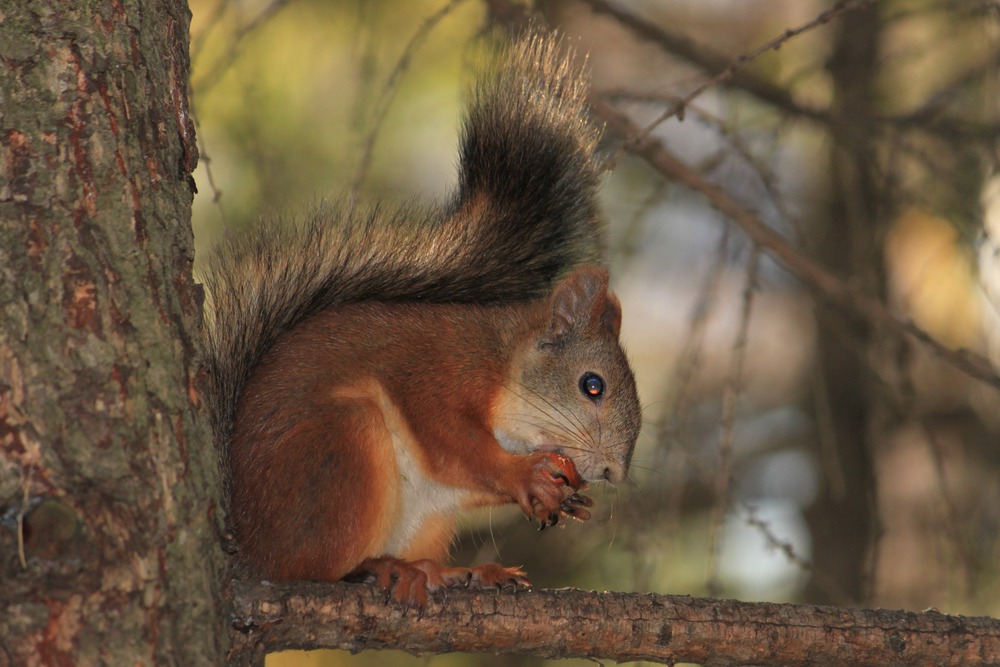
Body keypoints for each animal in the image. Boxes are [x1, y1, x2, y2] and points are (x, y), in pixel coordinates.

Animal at [201, 31, 640, 604]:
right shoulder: (432, 373)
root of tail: (249, 549)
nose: (613, 472)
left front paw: (563, 498)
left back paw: (456, 572)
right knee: (309, 565)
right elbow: (451, 442)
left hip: (428, 517)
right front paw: (525, 476)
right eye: (592, 385)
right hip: (341, 449)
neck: (503, 369)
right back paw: (378, 567)